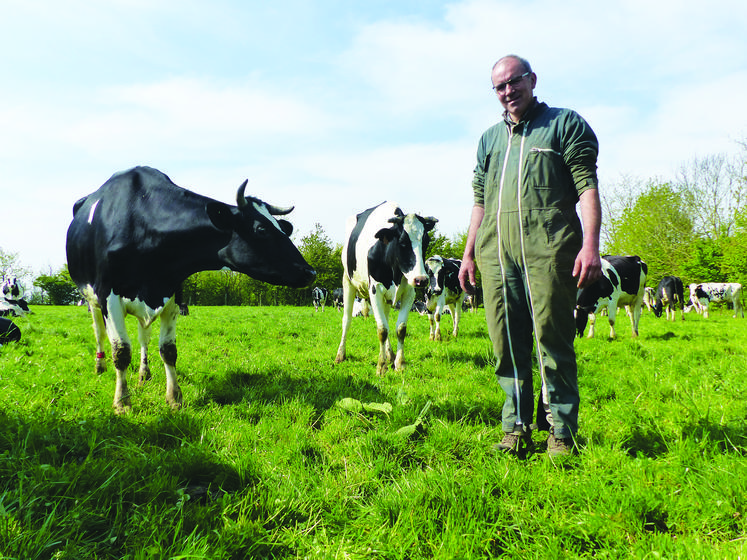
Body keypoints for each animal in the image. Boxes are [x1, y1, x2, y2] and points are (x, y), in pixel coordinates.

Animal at [65, 166, 318, 412]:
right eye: (261, 229)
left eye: (282, 229)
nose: (310, 272)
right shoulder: (108, 295)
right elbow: (121, 351)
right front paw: (122, 402)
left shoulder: (173, 292)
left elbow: (168, 350)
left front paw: (174, 398)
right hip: (92, 299)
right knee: (99, 333)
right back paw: (100, 366)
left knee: (144, 337)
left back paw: (144, 374)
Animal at [334, 201, 436, 376]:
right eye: (402, 242)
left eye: (426, 241)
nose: (421, 279)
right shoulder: (375, 290)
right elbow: (382, 329)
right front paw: (381, 366)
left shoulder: (409, 292)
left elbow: (400, 329)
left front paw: (400, 364)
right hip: (347, 281)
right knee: (346, 320)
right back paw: (340, 355)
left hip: (387, 298)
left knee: (387, 320)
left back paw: (390, 355)